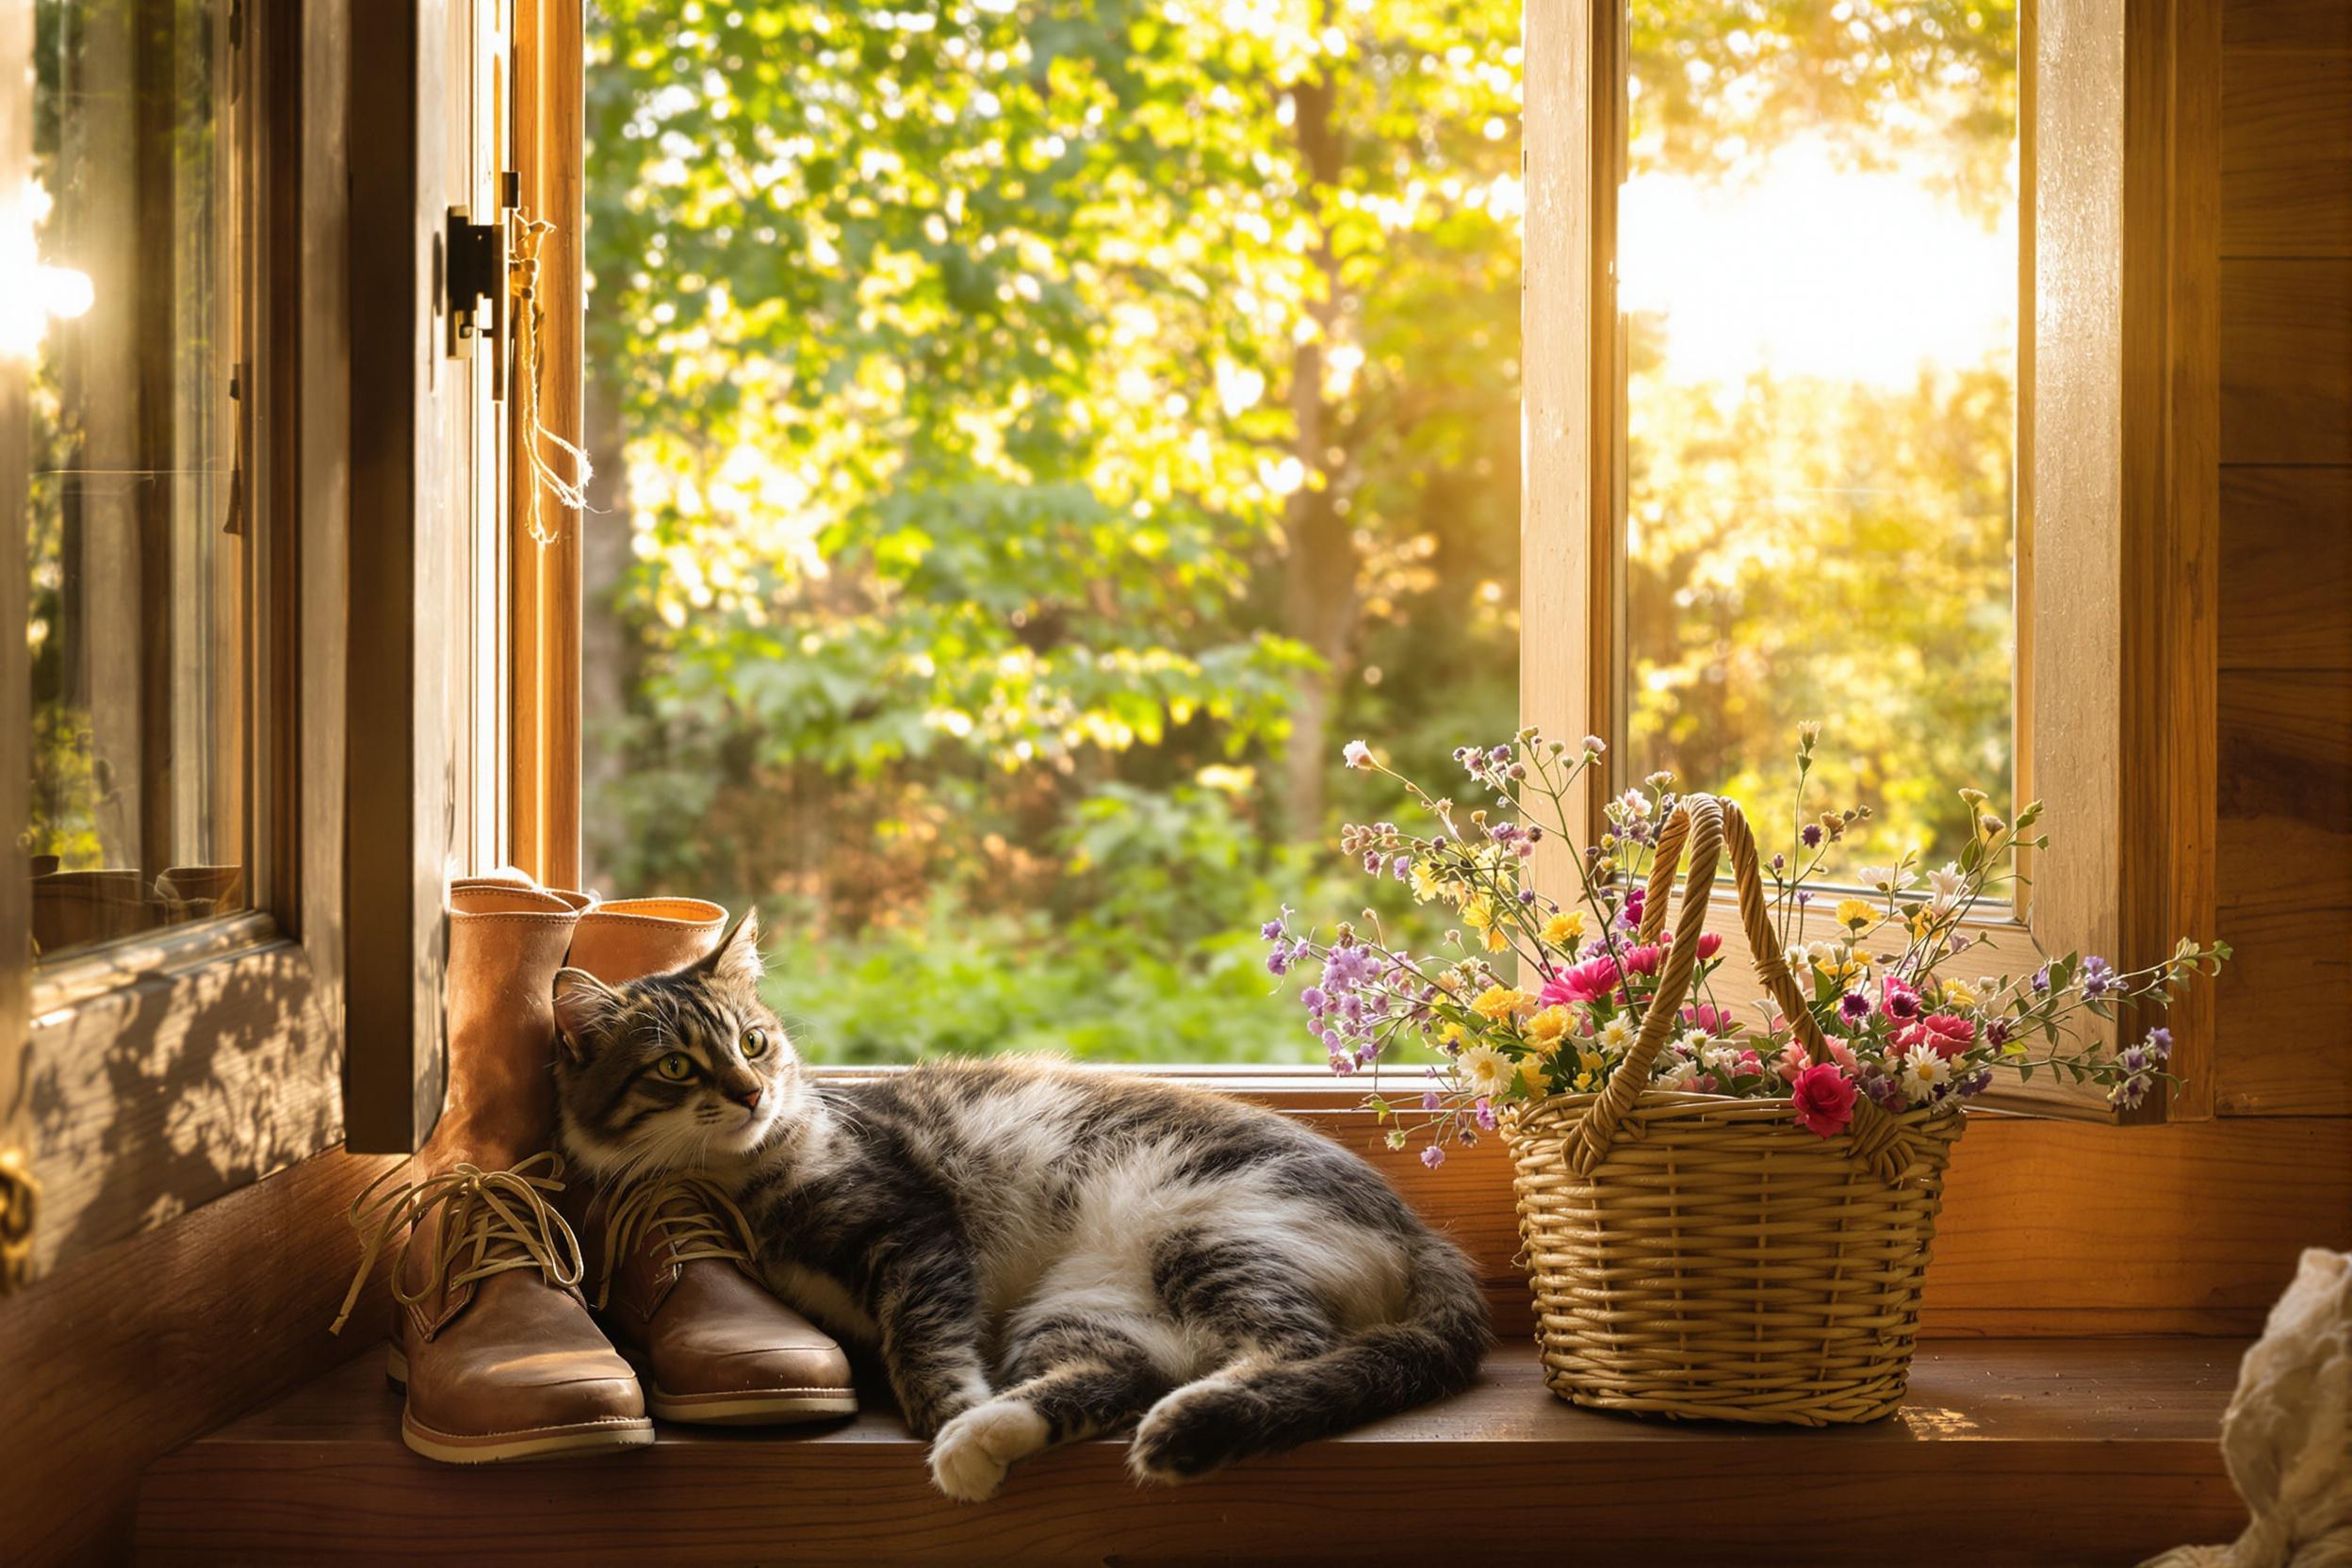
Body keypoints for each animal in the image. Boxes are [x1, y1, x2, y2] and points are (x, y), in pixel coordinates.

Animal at [550, 911, 1486, 1504]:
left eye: (754, 1042)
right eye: (675, 1067)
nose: (750, 1093)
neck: (746, 1185)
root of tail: (1420, 1235)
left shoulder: (911, 1225)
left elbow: (922, 1338)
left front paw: (944, 1408)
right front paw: (960, 1422)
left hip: (1211, 1229)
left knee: (1294, 1347)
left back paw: (1173, 1418)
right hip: (1082, 1310)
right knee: (1119, 1374)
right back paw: (989, 1440)